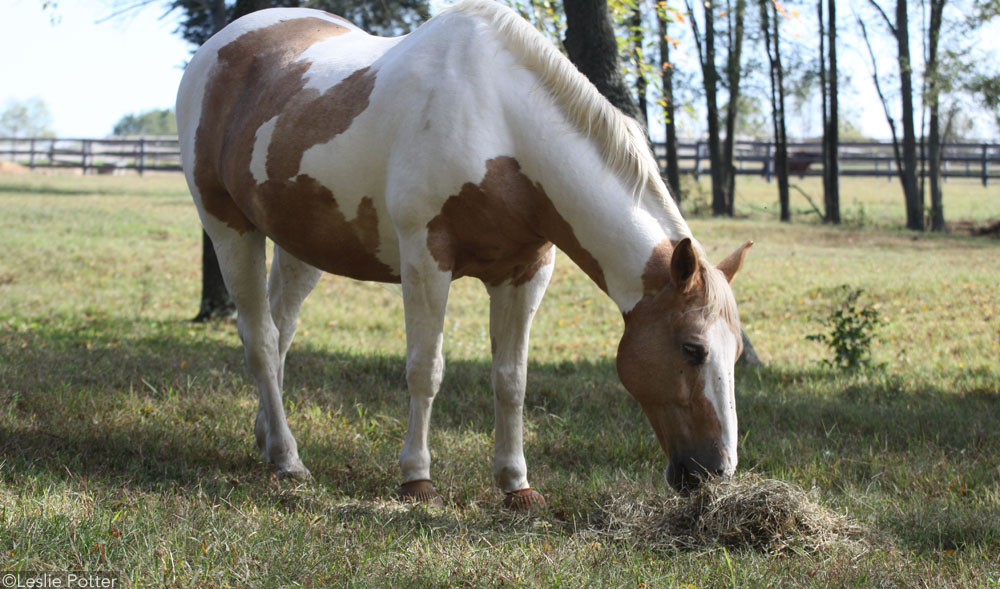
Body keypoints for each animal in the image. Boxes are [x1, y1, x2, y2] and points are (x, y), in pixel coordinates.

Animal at [176, 0, 752, 506]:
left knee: (282, 332)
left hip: (300, 245)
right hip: (229, 228)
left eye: (735, 354)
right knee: (260, 338)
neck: (501, 123)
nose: (716, 472)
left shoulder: (526, 274)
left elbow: (511, 380)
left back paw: (268, 441)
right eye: (693, 349)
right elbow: (425, 369)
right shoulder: (426, 262)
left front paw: (516, 485)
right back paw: (289, 460)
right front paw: (417, 479)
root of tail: (218, 47)